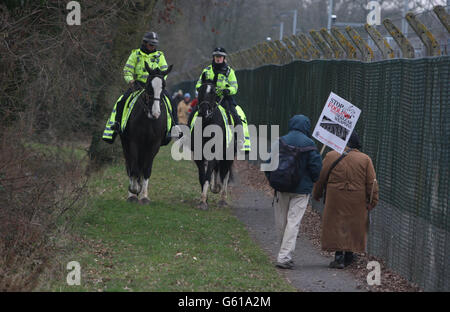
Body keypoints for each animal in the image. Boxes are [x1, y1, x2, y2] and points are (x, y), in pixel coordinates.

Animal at [118, 62, 173, 205]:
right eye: (149, 85)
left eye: (163, 86)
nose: (156, 113)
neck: (148, 120)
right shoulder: (134, 142)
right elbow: (133, 167)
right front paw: (133, 191)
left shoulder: (154, 144)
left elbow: (146, 169)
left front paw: (144, 196)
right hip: (126, 143)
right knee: (130, 165)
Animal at [187, 72, 236, 210]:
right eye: (199, 90)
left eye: (214, 92)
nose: (204, 111)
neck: (207, 124)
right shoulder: (198, 155)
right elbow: (202, 176)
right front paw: (205, 198)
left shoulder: (215, 152)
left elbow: (209, 174)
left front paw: (203, 201)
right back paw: (215, 188)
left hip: (229, 154)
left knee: (226, 173)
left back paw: (223, 198)